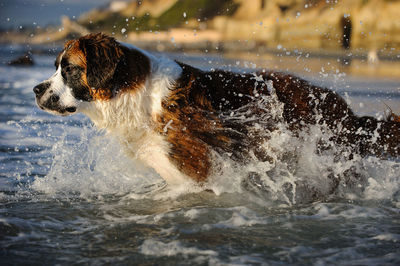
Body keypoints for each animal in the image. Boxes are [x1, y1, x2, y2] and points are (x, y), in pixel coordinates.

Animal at [34, 33, 400, 186]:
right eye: (56, 67)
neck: (135, 94)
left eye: (68, 69)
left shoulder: (195, 170)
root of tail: (344, 108)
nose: (36, 89)